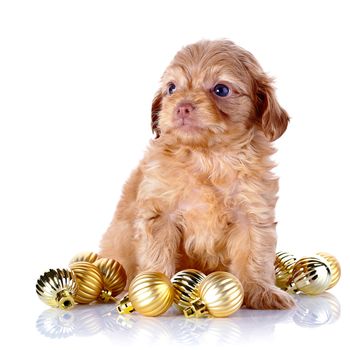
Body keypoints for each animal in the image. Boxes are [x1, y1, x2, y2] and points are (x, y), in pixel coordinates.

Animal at [100, 39, 294, 308]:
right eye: (172, 88)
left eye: (221, 90)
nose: (182, 107)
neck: (207, 158)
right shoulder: (160, 214)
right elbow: (157, 255)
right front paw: (151, 292)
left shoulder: (252, 214)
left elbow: (253, 254)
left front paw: (260, 290)